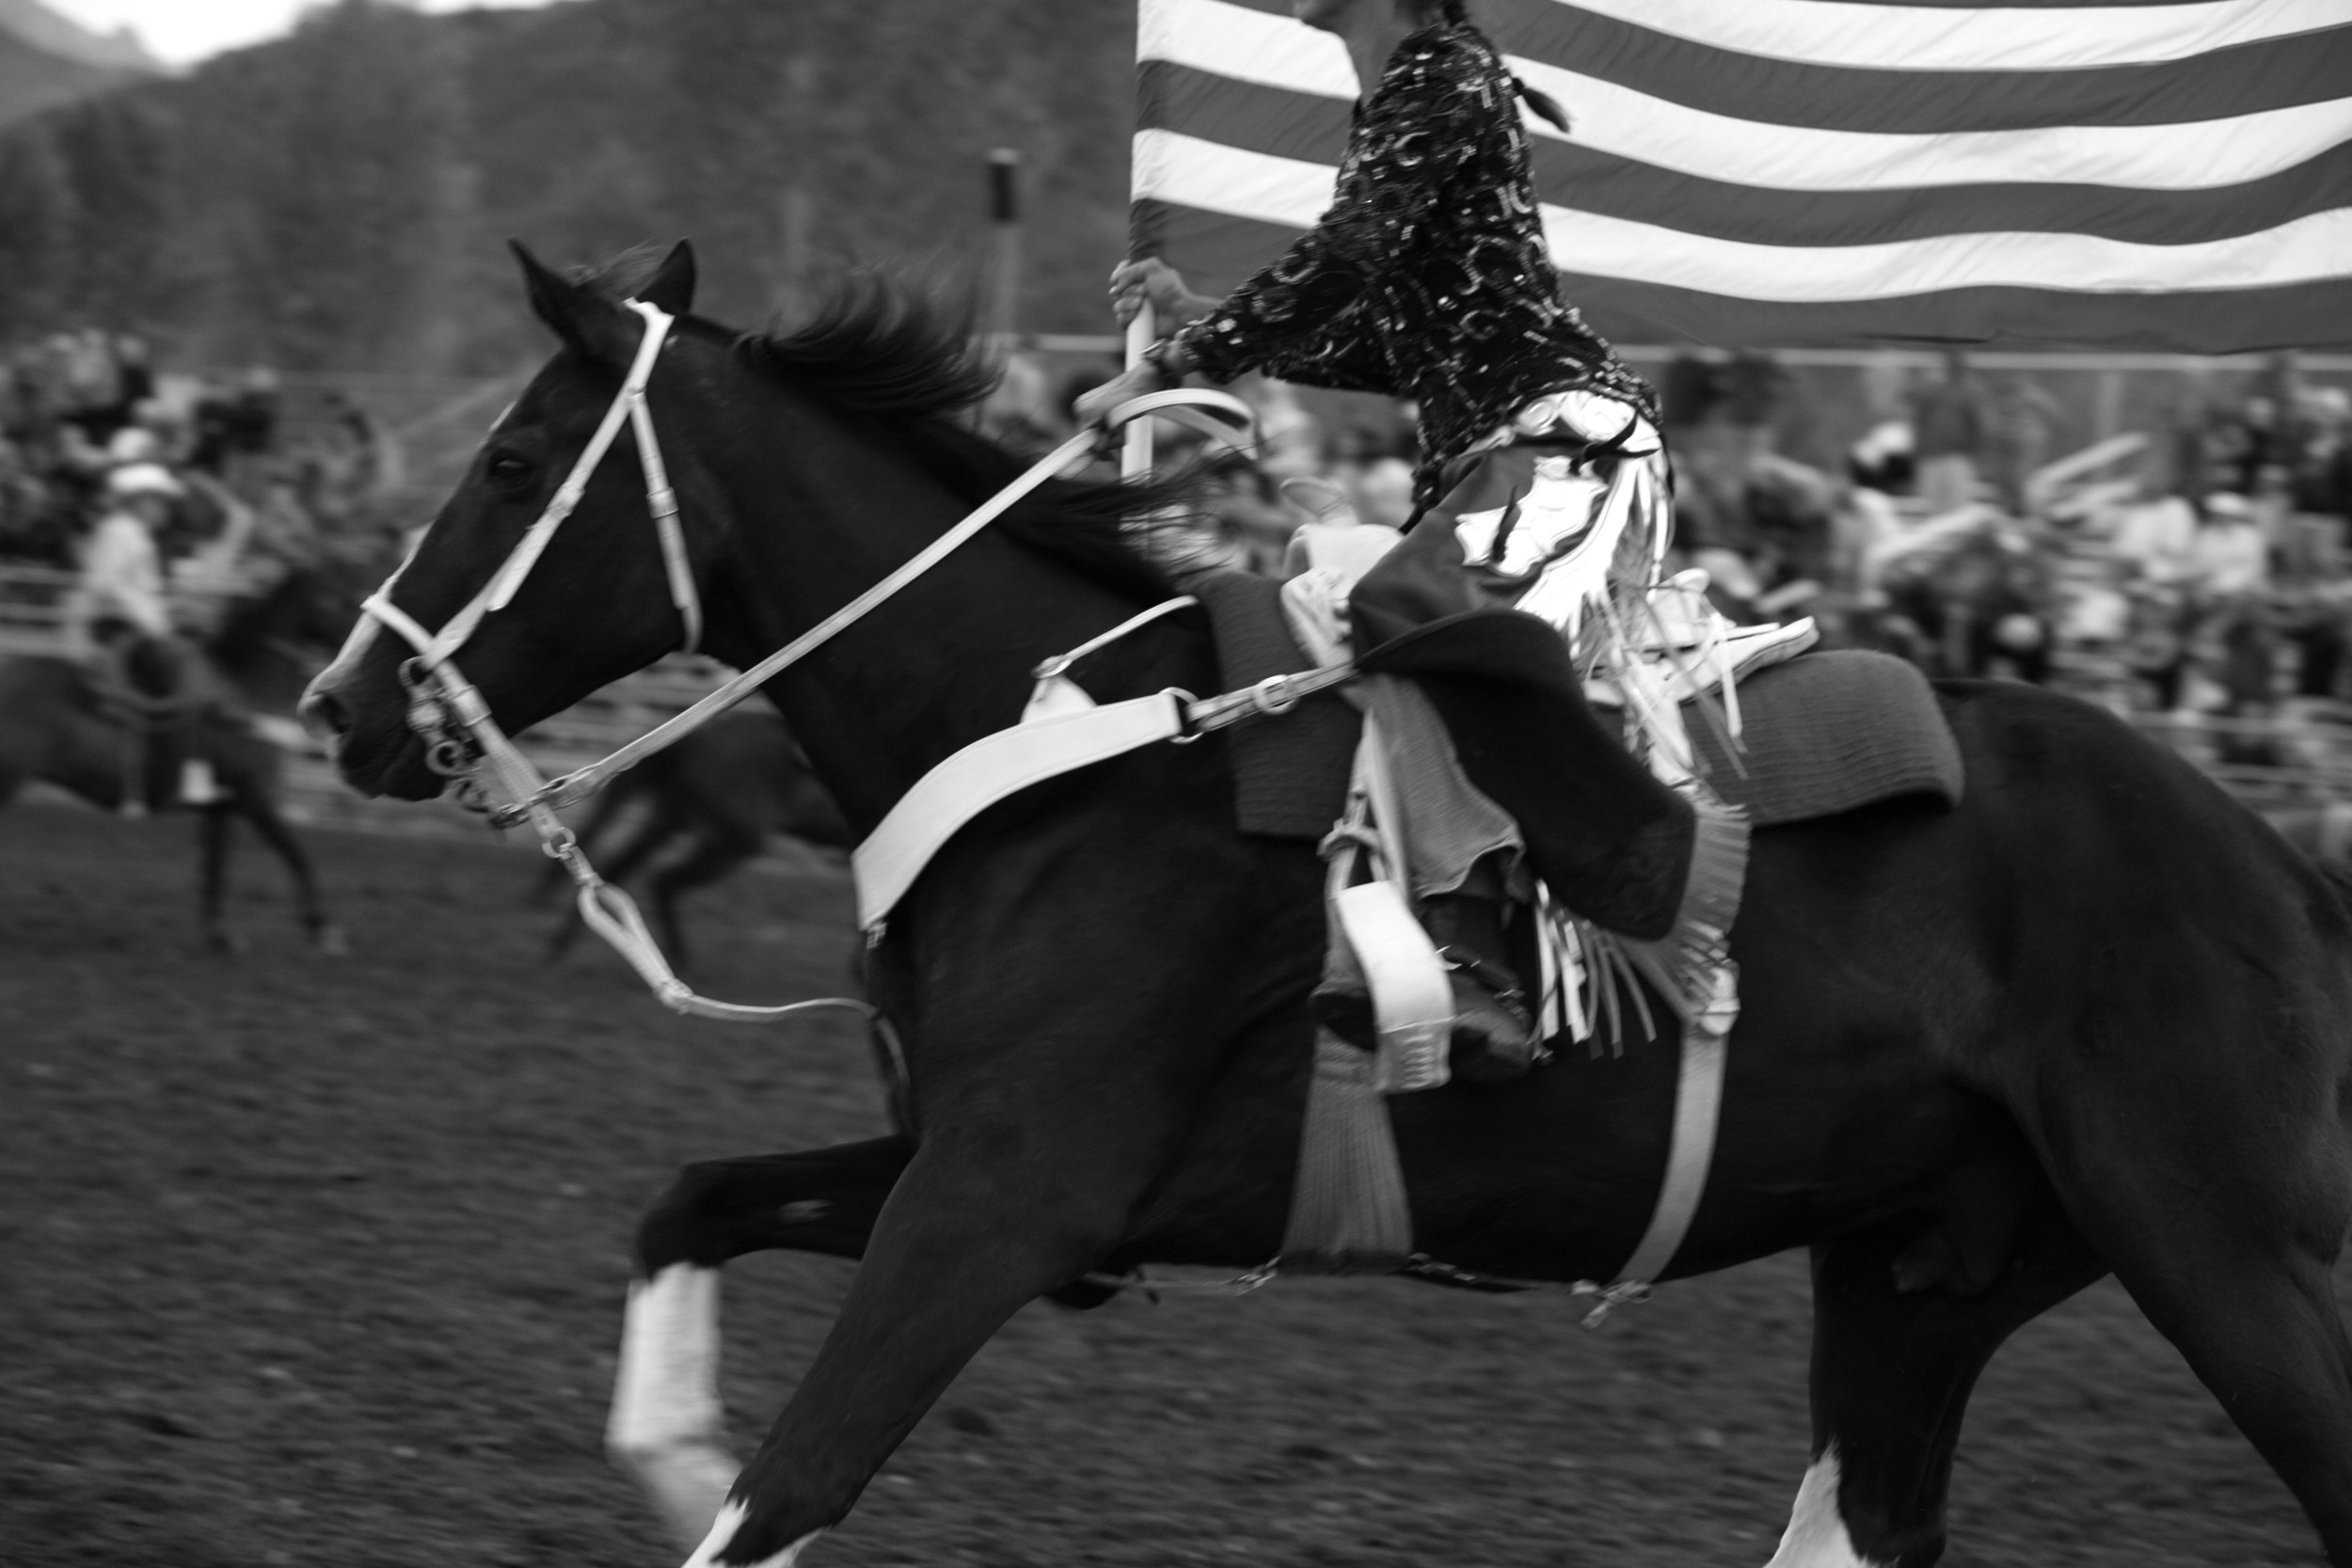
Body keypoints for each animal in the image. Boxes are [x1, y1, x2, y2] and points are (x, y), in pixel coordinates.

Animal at [303, 242, 2352, 1568]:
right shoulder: (980, 1171)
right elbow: (690, 1199)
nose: (338, 704)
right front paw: (660, 1444)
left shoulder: (993, 1207)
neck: (1060, 747)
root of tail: (2275, 852)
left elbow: (788, 1485)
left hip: (2223, 1246)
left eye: (508, 459)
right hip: (1922, 1267)